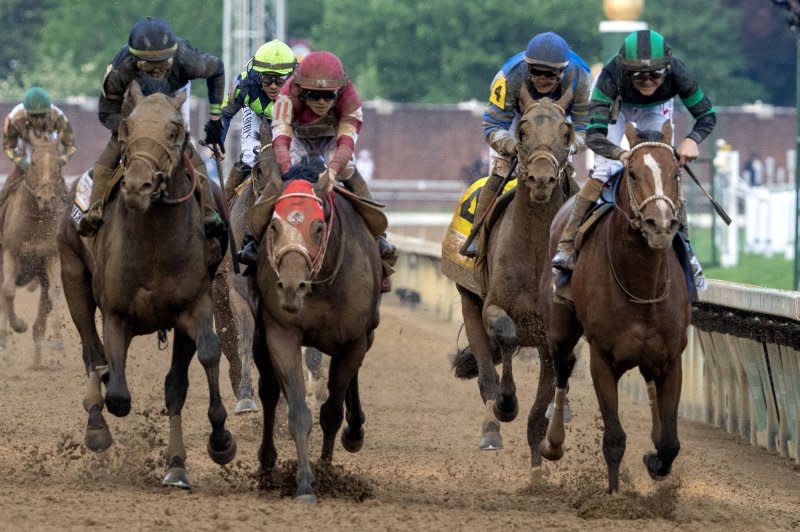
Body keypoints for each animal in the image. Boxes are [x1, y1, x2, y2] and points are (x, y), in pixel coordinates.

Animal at [0, 131, 67, 368]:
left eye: (58, 163)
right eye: (34, 162)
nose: (45, 199)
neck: (35, 222)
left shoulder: (52, 256)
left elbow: (55, 291)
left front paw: (57, 340)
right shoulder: (11, 254)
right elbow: (8, 291)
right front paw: (19, 324)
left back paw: (37, 357)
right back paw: (6, 345)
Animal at [57, 82, 234, 486]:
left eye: (175, 131)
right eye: (126, 130)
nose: (138, 186)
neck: (154, 244)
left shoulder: (193, 308)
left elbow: (195, 367)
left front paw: (204, 449)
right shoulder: (115, 314)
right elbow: (118, 393)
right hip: (73, 280)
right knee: (93, 354)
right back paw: (96, 426)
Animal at [253, 165, 384, 502]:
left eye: (317, 226)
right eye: (274, 226)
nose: (290, 287)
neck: (322, 283)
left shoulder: (353, 340)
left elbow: (332, 413)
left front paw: (327, 473)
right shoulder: (281, 331)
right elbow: (299, 411)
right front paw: (304, 483)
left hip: (366, 335)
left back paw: (355, 431)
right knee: (269, 392)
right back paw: (267, 465)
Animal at [450, 89, 576, 456]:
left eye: (566, 132)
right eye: (522, 130)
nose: (542, 179)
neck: (534, 251)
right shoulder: (494, 306)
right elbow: (505, 335)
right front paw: (507, 405)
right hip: (468, 300)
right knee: (485, 374)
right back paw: (491, 431)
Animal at [540, 121, 692, 494]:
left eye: (676, 173)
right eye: (633, 173)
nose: (660, 225)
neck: (641, 285)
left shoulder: (671, 358)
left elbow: (670, 442)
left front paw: (655, 461)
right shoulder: (603, 359)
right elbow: (614, 438)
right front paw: (612, 496)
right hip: (560, 330)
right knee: (562, 371)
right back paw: (553, 442)